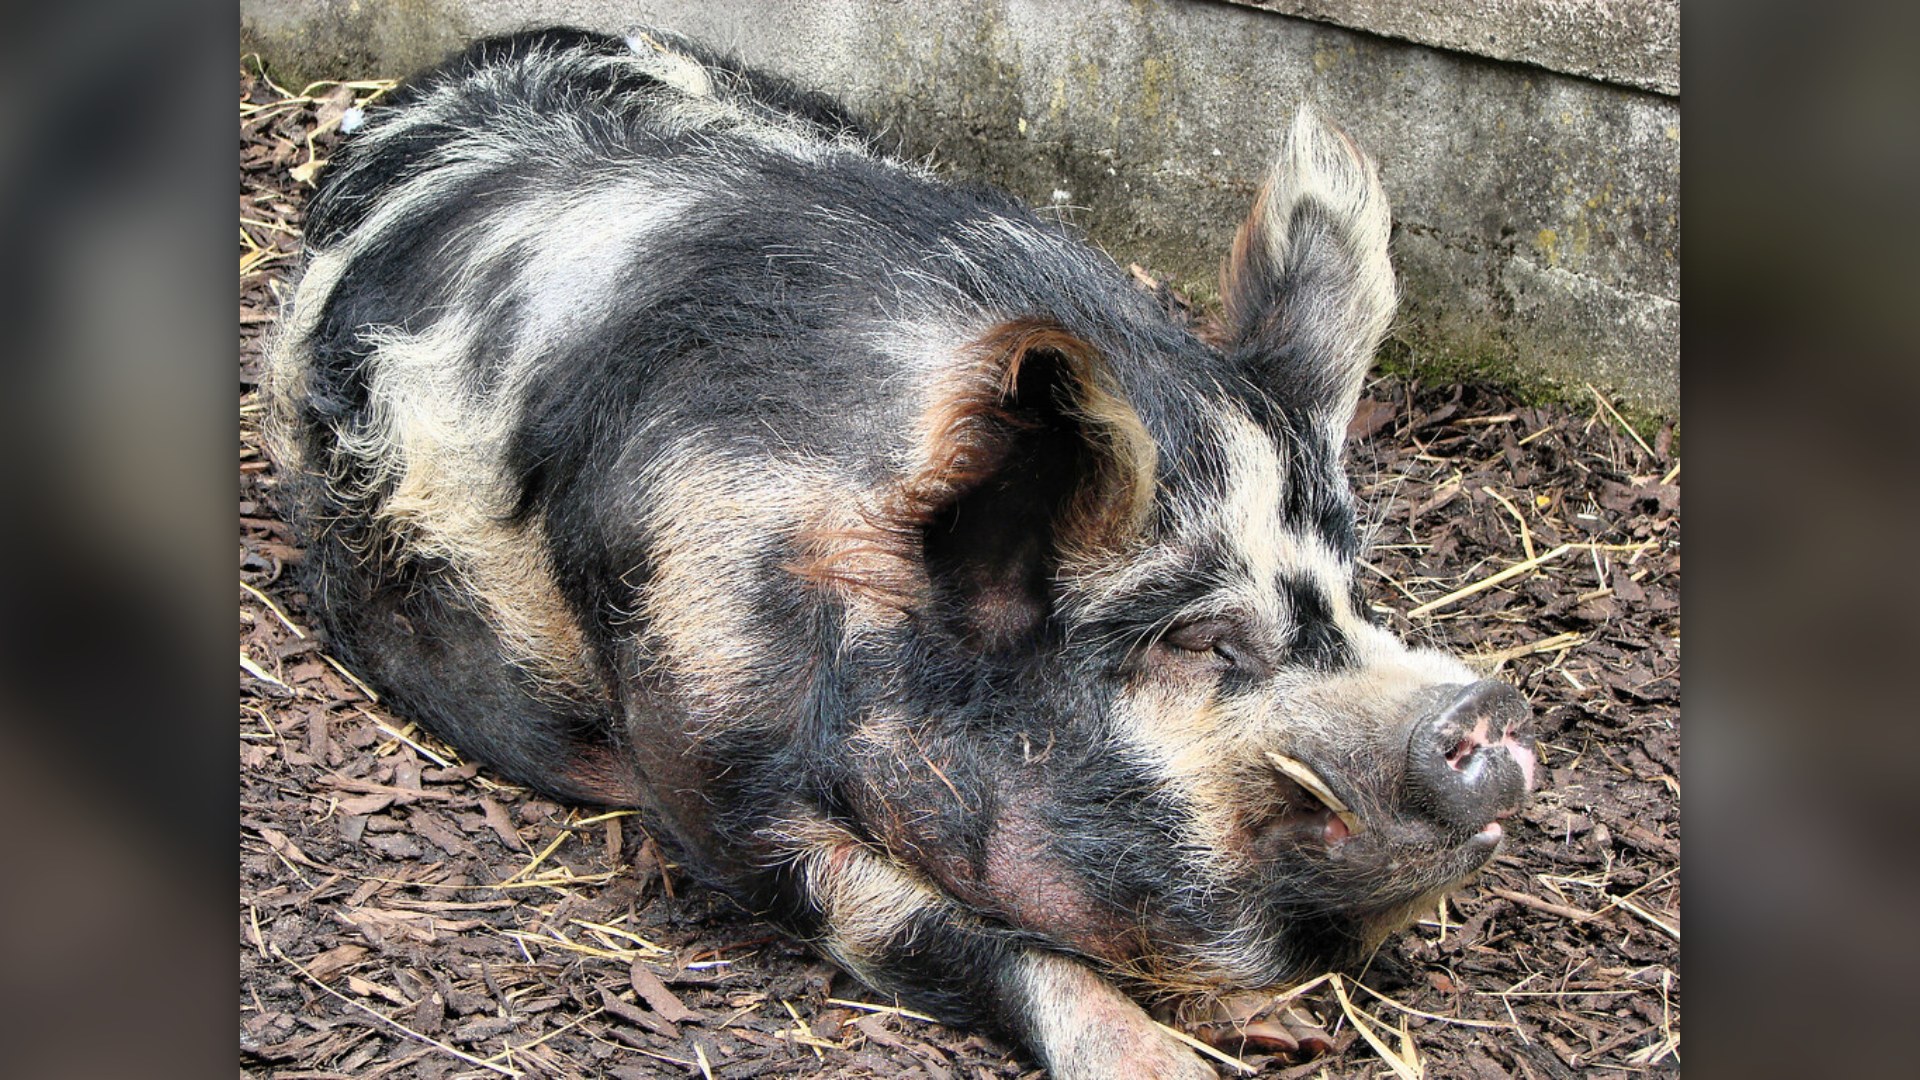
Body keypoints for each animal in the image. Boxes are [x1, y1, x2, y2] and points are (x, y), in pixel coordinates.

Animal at [266, 27, 1538, 1078]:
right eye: (1202, 639)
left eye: (1355, 590)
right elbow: (940, 933)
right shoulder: (710, 754)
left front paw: (1281, 1029)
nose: (1484, 703)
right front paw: (1173, 1062)